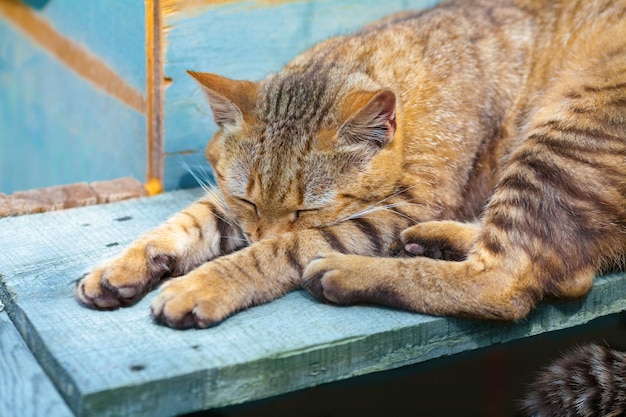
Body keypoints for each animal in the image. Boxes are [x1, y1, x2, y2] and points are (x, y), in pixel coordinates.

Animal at [74, 0, 624, 332]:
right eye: (249, 198)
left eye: (305, 210)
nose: (258, 232)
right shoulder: (232, 205)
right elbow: (187, 221)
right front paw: (123, 266)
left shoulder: (397, 210)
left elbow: (284, 250)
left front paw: (205, 282)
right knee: (563, 269)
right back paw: (439, 240)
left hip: (561, 132)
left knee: (510, 280)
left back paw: (351, 272)